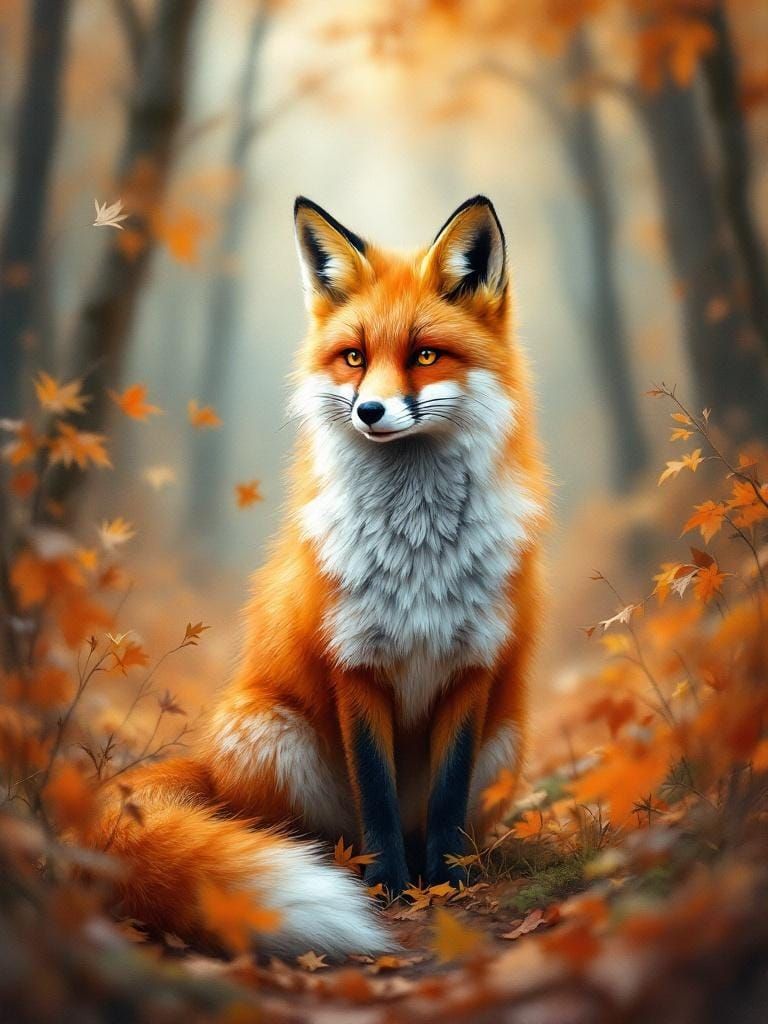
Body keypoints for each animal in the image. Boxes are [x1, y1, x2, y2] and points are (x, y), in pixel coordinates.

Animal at [84, 195, 548, 958]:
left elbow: (446, 803)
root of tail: (207, 766)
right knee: (307, 833)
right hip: (272, 736)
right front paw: (389, 889)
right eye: (354, 357)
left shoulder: (471, 667)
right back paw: (338, 868)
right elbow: (377, 797)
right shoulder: (352, 664)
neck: (416, 549)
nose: (370, 411)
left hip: (504, 744)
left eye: (424, 355)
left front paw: (447, 885)